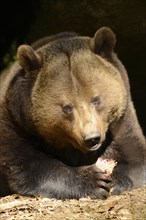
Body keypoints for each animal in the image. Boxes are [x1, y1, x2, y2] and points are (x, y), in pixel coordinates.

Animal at [0, 26, 146, 199]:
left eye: (96, 99)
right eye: (67, 107)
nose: (92, 138)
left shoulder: (120, 120)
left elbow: (135, 153)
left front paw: (117, 179)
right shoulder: (15, 122)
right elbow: (27, 165)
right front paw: (95, 181)